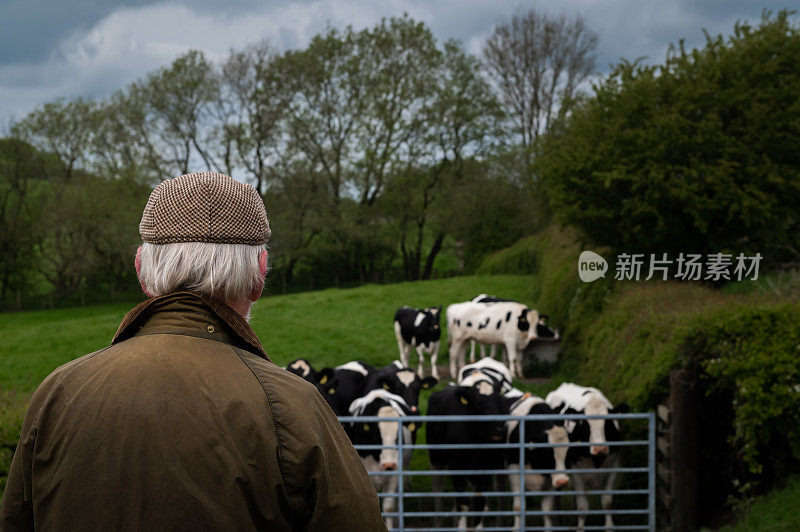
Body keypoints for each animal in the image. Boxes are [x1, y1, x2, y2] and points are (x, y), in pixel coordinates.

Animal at [428, 380, 510, 528]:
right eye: (479, 404)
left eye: (500, 402)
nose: (500, 429)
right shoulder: (456, 467)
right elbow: (463, 503)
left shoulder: (486, 468)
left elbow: (479, 503)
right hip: (435, 459)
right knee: (438, 490)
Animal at [504, 390, 572, 532]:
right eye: (548, 452)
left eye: (568, 451)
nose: (562, 481)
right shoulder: (514, 469)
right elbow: (519, 506)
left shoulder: (550, 478)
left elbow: (547, 510)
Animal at [544, 384, 632, 528]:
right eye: (585, 424)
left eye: (608, 423)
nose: (599, 448)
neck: (597, 460)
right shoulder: (577, 473)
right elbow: (582, 507)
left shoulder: (613, 468)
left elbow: (607, 502)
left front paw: (609, 527)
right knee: (557, 495)